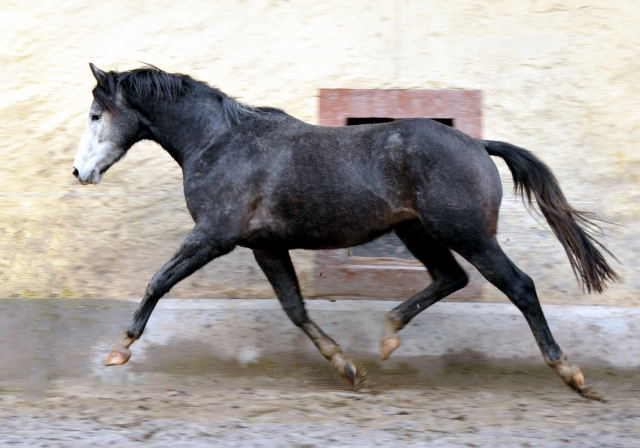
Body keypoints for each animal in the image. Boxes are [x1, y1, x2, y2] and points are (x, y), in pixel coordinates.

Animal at [72, 62, 616, 400]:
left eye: (97, 114)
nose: (80, 173)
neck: (220, 142)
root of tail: (478, 144)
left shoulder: (214, 236)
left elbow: (157, 281)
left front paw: (120, 350)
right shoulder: (265, 246)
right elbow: (295, 308)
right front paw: (348, 368)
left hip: (468, 235)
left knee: (519, 286)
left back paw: (572, 374)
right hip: (420, 233)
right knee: (450, 278)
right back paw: (388, 336)